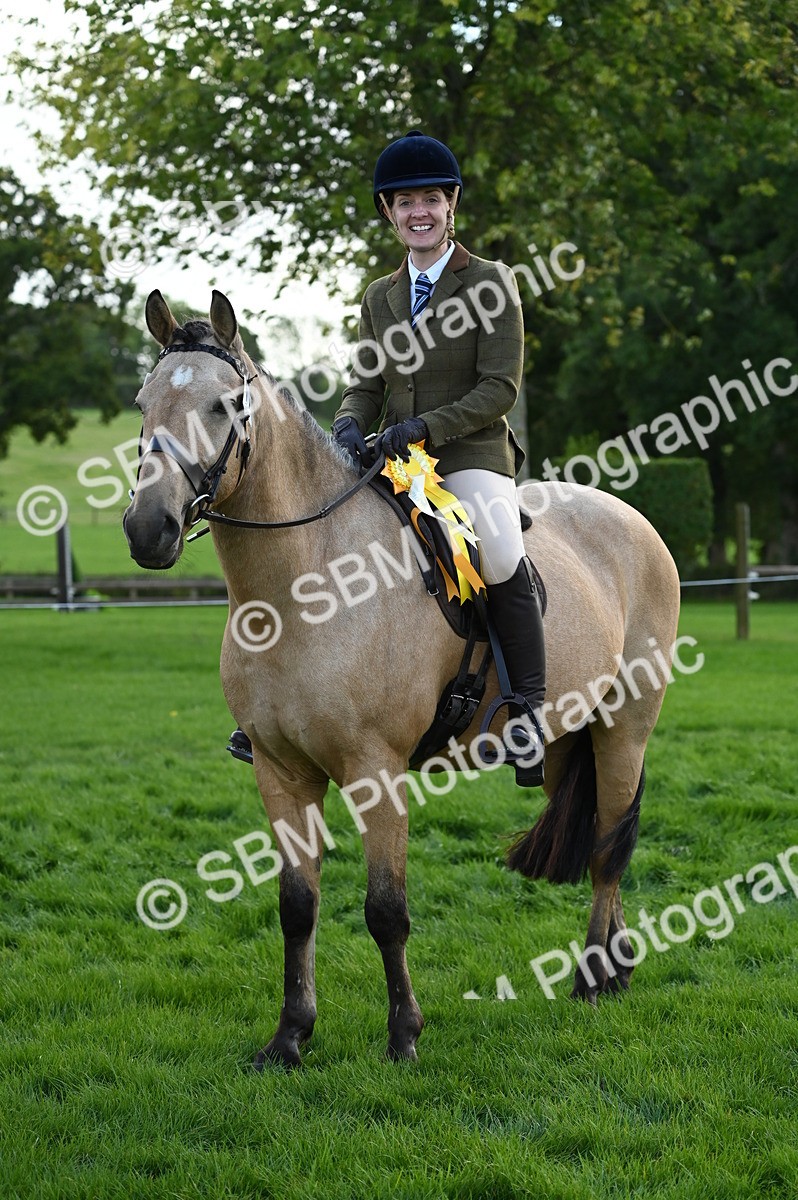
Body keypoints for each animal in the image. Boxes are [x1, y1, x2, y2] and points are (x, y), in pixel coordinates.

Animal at [124, 288, 681, 1069]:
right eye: (142, 402)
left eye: (224, 405)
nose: (148, 529)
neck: (303, 585)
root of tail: (631, 518)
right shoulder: (279, 771)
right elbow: (297, 907)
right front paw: (289, 1038)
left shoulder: (374, 770)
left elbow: (386, 910)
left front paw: (403, 1036)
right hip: (572, 734)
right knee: (603, 828)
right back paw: (618, 969)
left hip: (626, 726)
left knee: (608, 849)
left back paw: (592, 981)